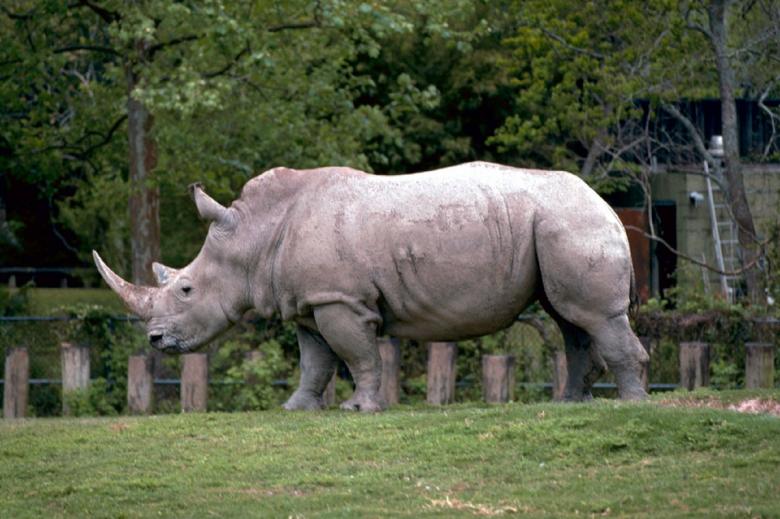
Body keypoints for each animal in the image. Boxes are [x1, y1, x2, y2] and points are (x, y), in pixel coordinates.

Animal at [94, 161, 649, 411]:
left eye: (185, 290)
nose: (154, 340)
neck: (255, 235)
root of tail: (605, 202)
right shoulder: (309, 302)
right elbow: (314, 361)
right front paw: (296, 409)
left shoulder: (341, 300)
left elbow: (357, 354)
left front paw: (358, 409)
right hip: (557, 222)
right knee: (569, 319)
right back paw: (570, 403)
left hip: (571, 221)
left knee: (592, 316)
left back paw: (632, 403)